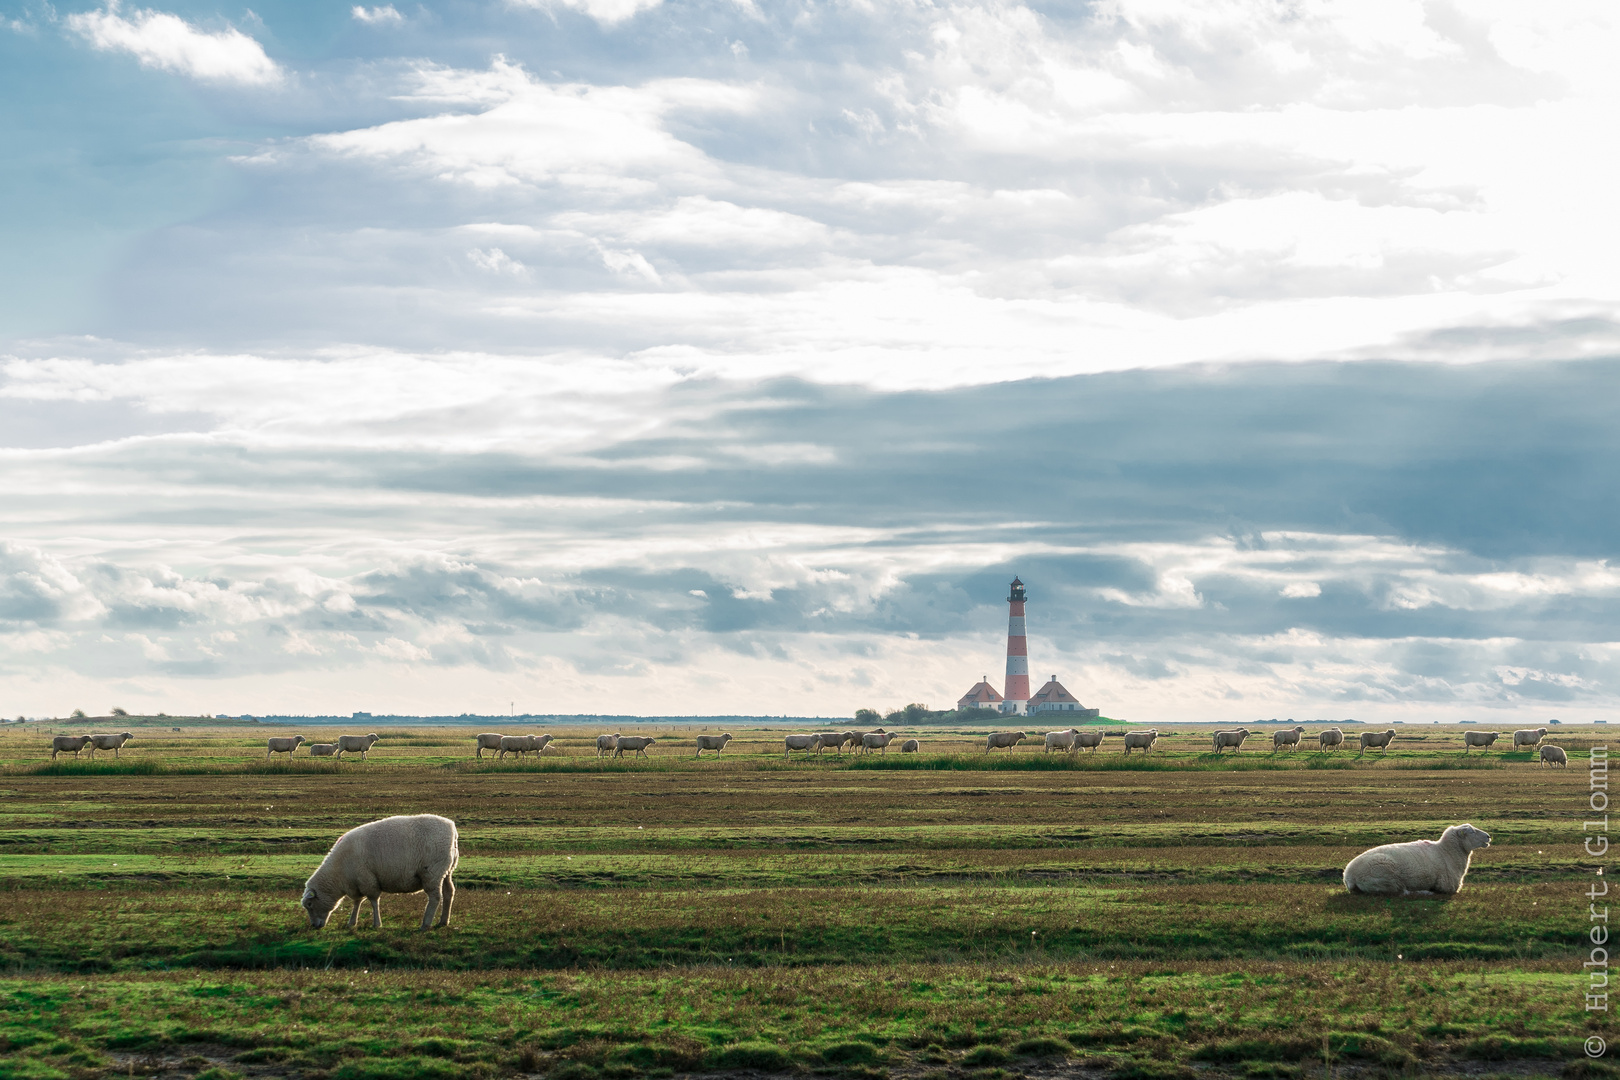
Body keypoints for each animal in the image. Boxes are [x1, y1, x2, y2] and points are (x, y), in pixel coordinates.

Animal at [304, 816, 460, 932]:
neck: (338, 874)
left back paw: (425, 924)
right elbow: (357, 902)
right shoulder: (357, 883)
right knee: (449, 892)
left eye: (310, 904)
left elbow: (373, 902)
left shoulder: (367, 880)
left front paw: (376, 924)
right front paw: (352, 922)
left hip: (432, 873)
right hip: (446, 871)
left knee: (435, 897)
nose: (314, 926)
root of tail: (452, 830)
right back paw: (443, 921)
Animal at [1341, 822, 1490, 900]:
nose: (1488, 837)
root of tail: (1348, 875)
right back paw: (1425, 892)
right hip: (1387, 877)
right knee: (1403, 893)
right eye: (1471, 831)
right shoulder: (1447, 886)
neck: (1447, 851)